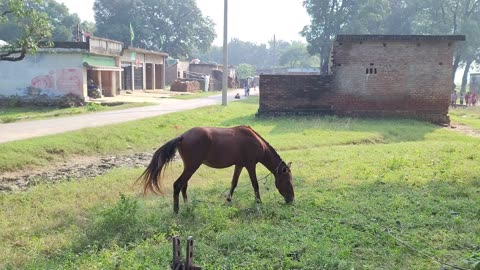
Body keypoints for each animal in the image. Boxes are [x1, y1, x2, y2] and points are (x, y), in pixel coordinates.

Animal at [139, 125, 294, 212]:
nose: (291, 199)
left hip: (189, 167)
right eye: (287, 182)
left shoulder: (239, 165)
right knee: (178, 184)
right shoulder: (250, 165)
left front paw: (228, 200)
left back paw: (187, 206)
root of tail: (182, 137)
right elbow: (255, 184)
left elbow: (234, 183)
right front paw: (259, 202)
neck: (255, 141)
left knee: (183, 186)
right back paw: (176, 210)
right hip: (192, 166)